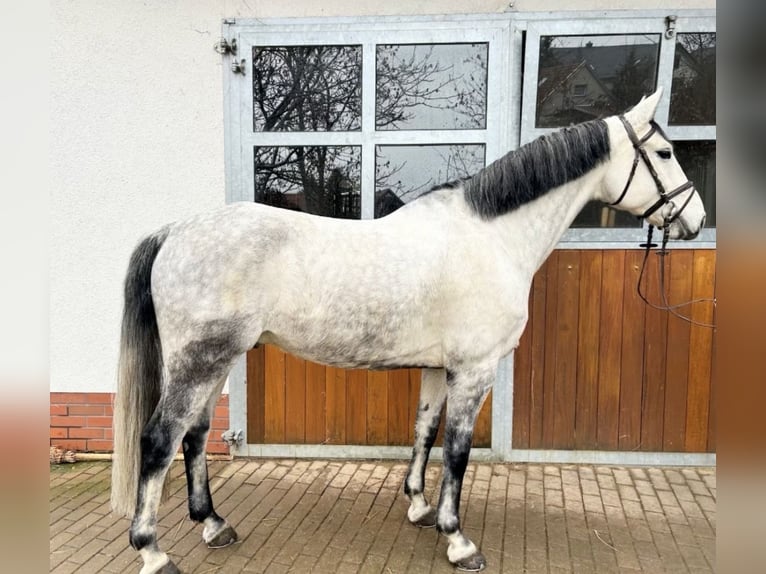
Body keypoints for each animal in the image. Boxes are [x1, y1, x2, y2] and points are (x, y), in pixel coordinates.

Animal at [110, 88, 706, 573]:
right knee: (160, 439)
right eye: (665, 153)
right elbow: (458, 451)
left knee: (194, 435)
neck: (491, 237)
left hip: (216, 360)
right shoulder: (475, 370)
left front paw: (419, 506)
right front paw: (458, 541)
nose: (695, 219)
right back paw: (153, 550)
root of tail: (175, 231)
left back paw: (213, 525)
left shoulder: (440, 368)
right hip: (200, 360)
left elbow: (424, 431)